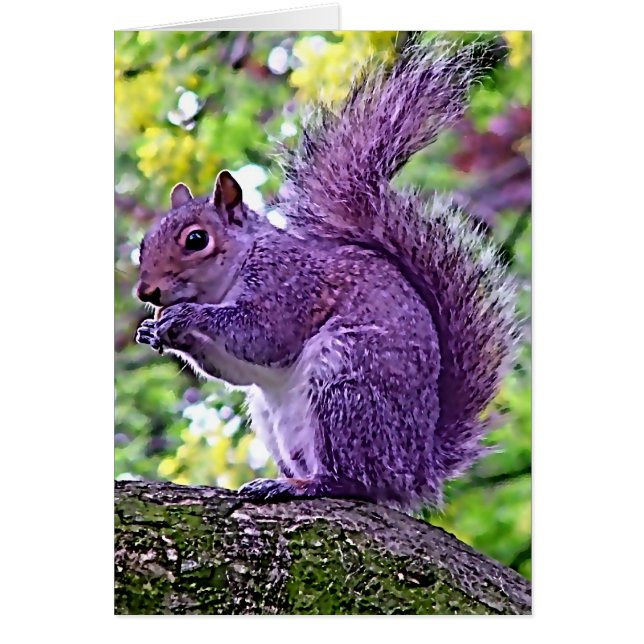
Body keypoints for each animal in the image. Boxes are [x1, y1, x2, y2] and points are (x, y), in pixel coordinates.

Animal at [134, 34, 519, 510]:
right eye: (143, 244)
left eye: (196, 240)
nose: (146, 292)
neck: (235, 270)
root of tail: (414, 472)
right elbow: (239, 370)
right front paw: (156, 332)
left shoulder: (289, 285)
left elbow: (263, 336)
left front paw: (187, 317)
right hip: (275, 416)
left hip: (345, 383)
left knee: (353, 480)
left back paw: (303, 485)